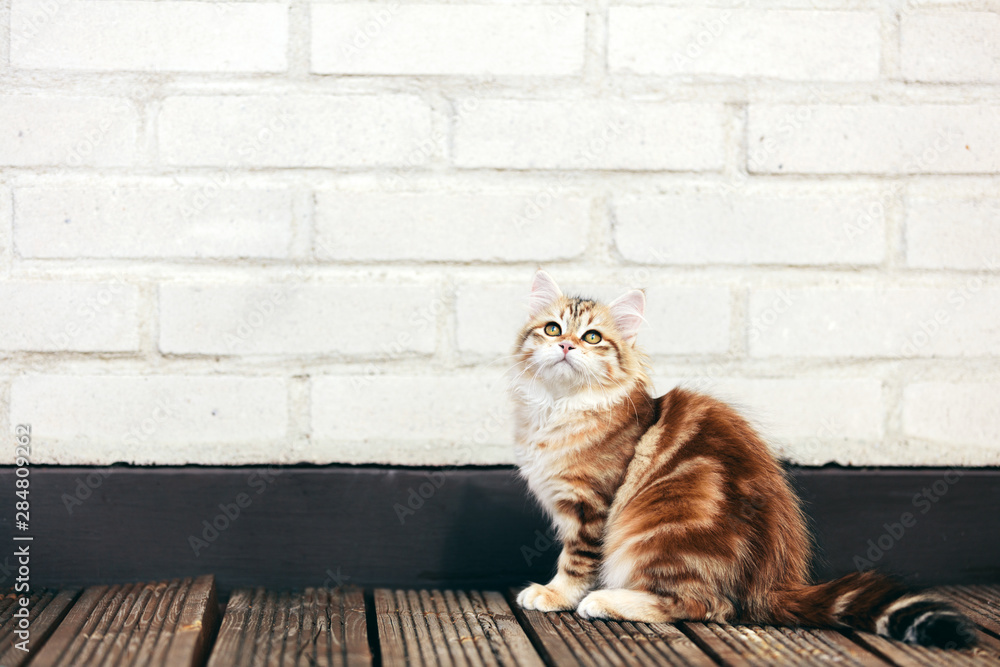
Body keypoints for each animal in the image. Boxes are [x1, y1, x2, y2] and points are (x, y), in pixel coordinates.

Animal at [508, 270, 976, 648]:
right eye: (552, 329)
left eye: (592, 337)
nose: (566, 345)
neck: (559, 408)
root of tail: (773, 583)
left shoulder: (591, 508)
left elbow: (575, 562)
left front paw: (554, 594)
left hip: (656, 532)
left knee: (706, 605)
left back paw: (607, 600)